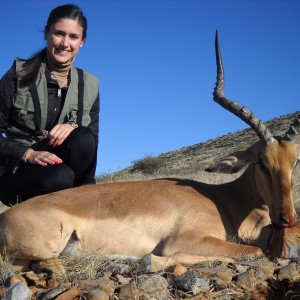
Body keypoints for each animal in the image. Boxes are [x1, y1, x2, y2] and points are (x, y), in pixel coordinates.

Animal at [0, 31, 300, 276]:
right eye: (262, 163)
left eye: (294, 163)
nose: (288, 218)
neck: (223, 202)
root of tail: (5, 217)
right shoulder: (186, 239)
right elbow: (255, 251)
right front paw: (149, 260)